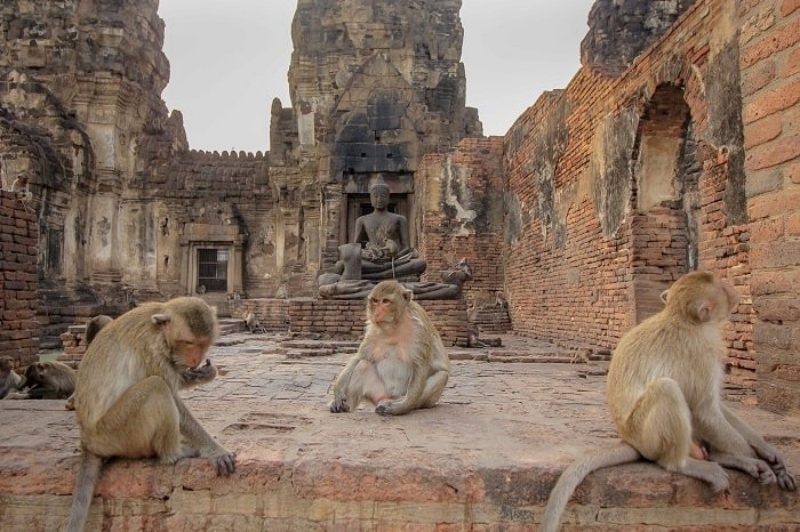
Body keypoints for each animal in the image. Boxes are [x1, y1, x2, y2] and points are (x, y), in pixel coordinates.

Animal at [66, 298, 236, 528]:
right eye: (188, 342)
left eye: (202, 343)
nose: (194, 360)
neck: (160, 330)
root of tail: (87, 440)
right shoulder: (151, 348)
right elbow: (173, 397)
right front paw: (215, 451)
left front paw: (205, 373)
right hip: (115, 433)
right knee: (156, 386)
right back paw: (174, 454)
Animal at [326, 278, 450, 416]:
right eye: (375, 300)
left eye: (385, 301)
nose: (377, 313)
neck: (394, 326)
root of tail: (384, 398)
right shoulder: (372, 331)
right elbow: (359, 357)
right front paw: (337, 392)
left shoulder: (419, 330)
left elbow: (420, 367)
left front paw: (402, 407)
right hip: (377, 392)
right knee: (363, 364)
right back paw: (346, 406)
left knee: (442, 375)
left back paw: (399, 405)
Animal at [540, 274, 796, 532]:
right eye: (721, 287)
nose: (732, 289)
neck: (683, 319)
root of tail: (629, 439)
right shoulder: (702, 351)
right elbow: (704, 411)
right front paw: (756, 462)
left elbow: (714, 406)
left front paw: (767, 452)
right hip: (645, 434)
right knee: (668, 389)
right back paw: (685, 464)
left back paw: (721, 457)